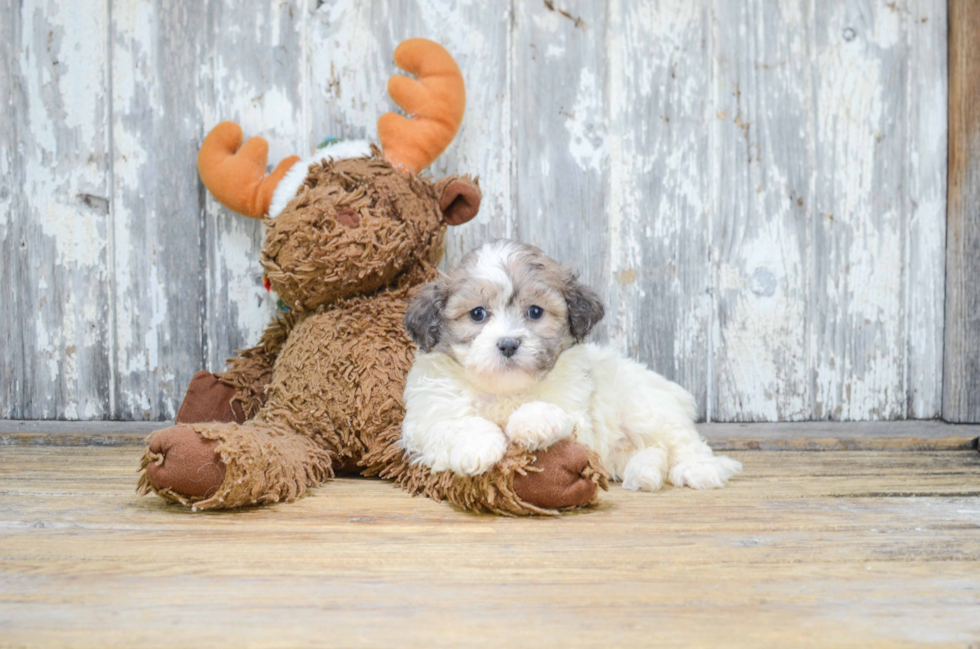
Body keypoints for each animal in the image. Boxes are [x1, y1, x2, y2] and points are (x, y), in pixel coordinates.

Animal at [402, 239, 740, 492]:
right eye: (477, 314)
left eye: (535, 312)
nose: (508, 344)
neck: (506, 392)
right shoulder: (425, 418)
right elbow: (453, 423)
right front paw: (478, 446)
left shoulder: (578, 413)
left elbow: (556, 412)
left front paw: (531, 421)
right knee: (652, 450)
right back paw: (643, 473)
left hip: (645, 408)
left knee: (681, 440)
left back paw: (699, 470)